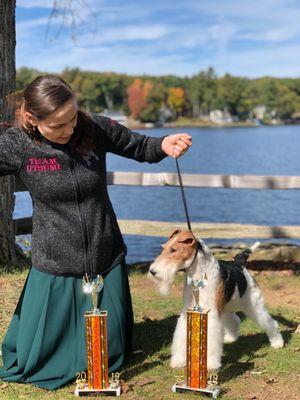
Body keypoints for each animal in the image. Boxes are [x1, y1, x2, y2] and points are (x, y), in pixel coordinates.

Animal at [149, 230, 284, 370]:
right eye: (164, 248)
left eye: (173, 250)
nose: (152, 271)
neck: (199, 274)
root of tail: (240, 264)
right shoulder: (188, 311)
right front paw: (178, 361)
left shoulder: (211, 313)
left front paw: (211, 364)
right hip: (227, 306)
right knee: (235, 320)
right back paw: (231, 338)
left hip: (254, 304)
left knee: (270, 322)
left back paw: (277, 342)